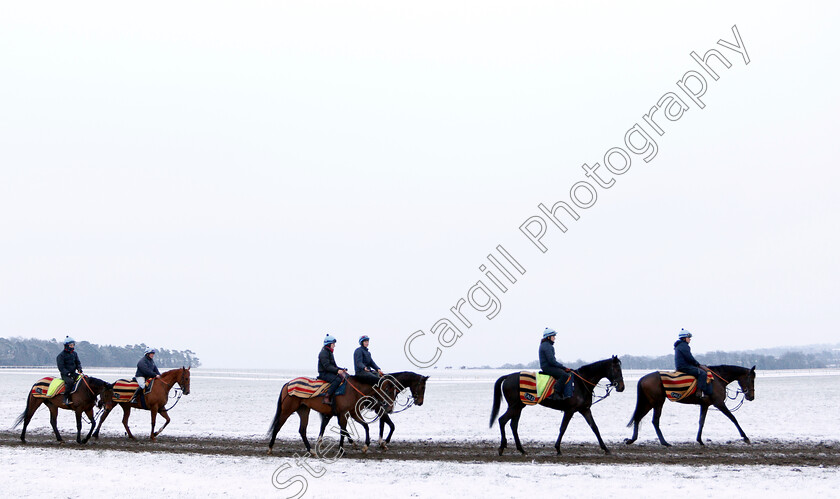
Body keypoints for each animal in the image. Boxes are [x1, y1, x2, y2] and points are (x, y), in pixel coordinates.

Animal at [268, 376, 402, 458]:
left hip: (304, 410)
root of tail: (288, 384)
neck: (353, 390)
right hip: (287, 410)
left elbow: (365, 426)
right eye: (388, 391)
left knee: (302, 430)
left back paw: (311, 451)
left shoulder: (353, 413)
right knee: (277, 427)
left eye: (396, 392)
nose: (390, 409)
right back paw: (270, 448)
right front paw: (342, 449)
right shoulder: (343, 414)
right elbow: (343, 430)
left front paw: (365, 447)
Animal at [486, 356, 624, 458]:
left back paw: (521, 450)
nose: (621, 387)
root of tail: (508, 376)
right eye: (617, 369)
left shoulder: (585, 410)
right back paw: (502, 447)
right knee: (502, 420)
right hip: (515, 406)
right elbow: (563, 428)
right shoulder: (570, 410)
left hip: (519, 407)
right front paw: (558, 449)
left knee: (513, 425)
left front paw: (606, 448)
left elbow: (594, 427)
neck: (580, 383)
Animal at [624, 364, 756, 446]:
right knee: (654, 420)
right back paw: (664, 442)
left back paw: (632, 439)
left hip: (649, 403)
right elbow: (733, 418)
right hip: (657, 403)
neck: (716, 380)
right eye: (752, 379)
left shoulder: (705, 405)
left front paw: (700, 440)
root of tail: (643, 378)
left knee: (638, 417)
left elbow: (701, 422)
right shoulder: (719, 404)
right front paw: (745, 437)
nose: (751, 397)